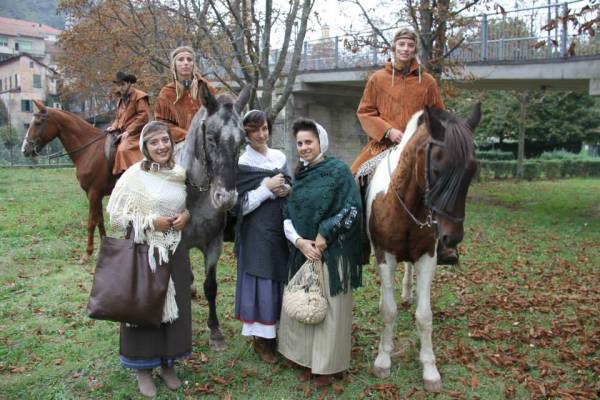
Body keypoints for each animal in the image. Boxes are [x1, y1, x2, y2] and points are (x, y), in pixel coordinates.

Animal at [21, 100, 116, 262]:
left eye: (38, 123)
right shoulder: (95, 195)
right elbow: (99, 220)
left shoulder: (93, 193)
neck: (89, 149)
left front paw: (87, 254)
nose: (25, 149)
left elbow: (91, 223)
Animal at [364, 104, 480, 392]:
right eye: (437, 168)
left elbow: (425, 316)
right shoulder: (385, 256)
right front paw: (383, 359)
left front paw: (430, 368)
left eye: (471, 171)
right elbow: (388, 311)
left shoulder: (427, 257)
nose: (452, 238)